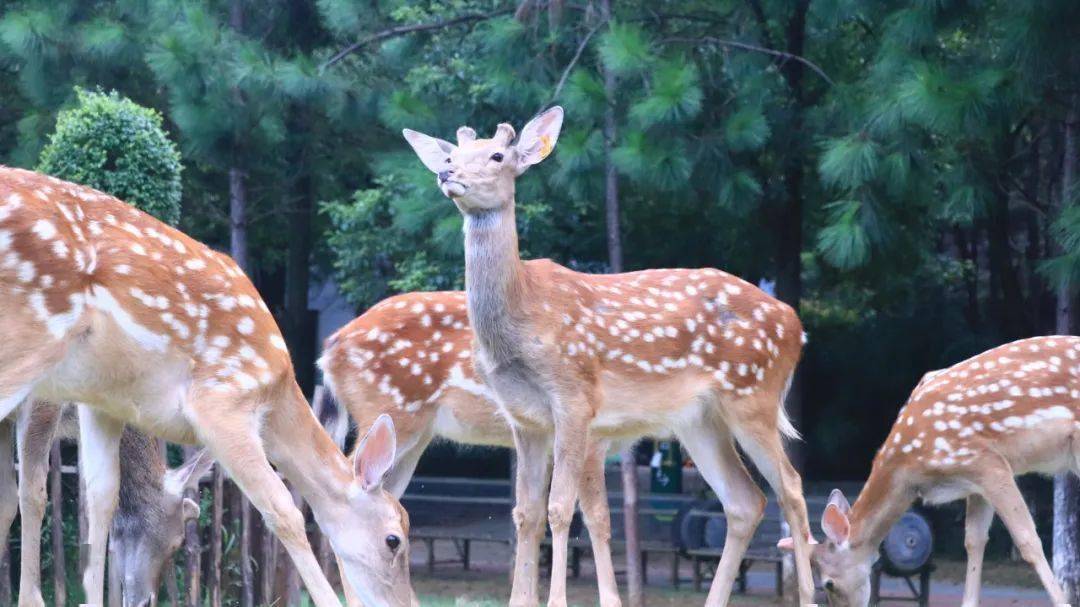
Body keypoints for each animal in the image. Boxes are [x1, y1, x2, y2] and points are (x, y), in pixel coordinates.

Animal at [0, 165, 414, 604]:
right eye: (393, 540)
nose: (407, 601)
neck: (277, 393)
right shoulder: (222, 400)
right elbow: (283, 509)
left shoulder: (102, 402)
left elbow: (100, 499)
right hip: (31, 343)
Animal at [406, 108, 816, 604]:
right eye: (452, 154)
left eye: (498, 155)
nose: (447, 173)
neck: (520, 322)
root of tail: (795, 325)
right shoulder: (523, 419)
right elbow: (525, 512)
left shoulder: (574, 397)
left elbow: (560, 508)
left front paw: (556, 600)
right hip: (700, 420)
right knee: (744, 501)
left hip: (753, 394)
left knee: (790, 487)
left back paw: (811, 594)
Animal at [781, 334, 1080, 604]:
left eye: (828, 584)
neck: (912, 469)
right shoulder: (974, 480)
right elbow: (974, 541)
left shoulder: (986, 461)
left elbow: (1029, 541)